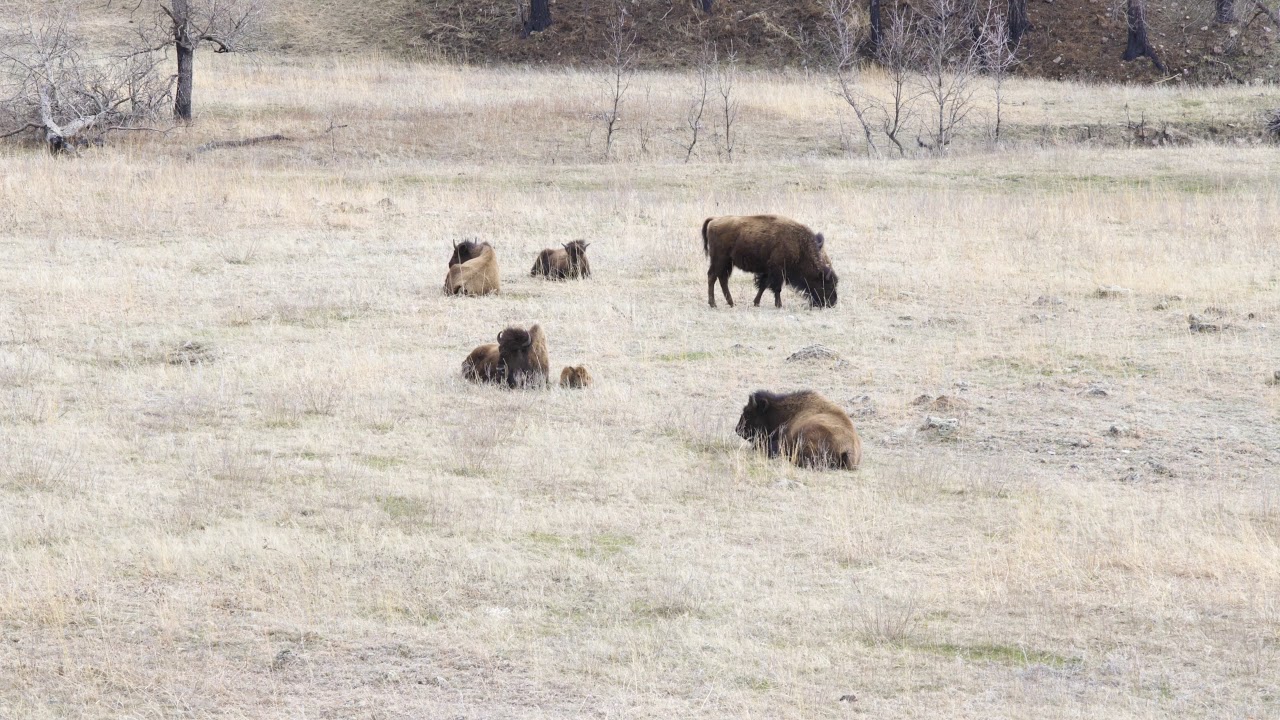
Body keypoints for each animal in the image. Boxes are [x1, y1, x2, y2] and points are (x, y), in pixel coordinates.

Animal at [702, 215, 837, 309]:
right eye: (827, 284)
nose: (832, 303)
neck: (799, 246)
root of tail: (714, 220)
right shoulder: (777, 271)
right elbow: (776, 288)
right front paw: (779, 305)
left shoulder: (768, 271)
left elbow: (763, 285)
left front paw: (756, 302)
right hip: (720, 260)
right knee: (712, 277)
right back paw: (713, 304)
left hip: (726, 263)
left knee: (722, 279)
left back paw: (730, 303)